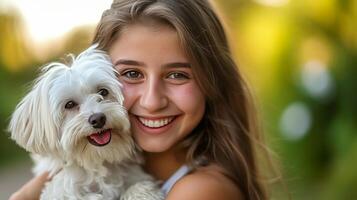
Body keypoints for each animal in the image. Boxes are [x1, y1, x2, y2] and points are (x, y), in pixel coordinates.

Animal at [8, 45, 163, 200]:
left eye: (103, 92)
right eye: (69, 104)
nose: (98, 119)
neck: (96, 160)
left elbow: (137, 185)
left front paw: (143, 193)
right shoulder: (59, 189)